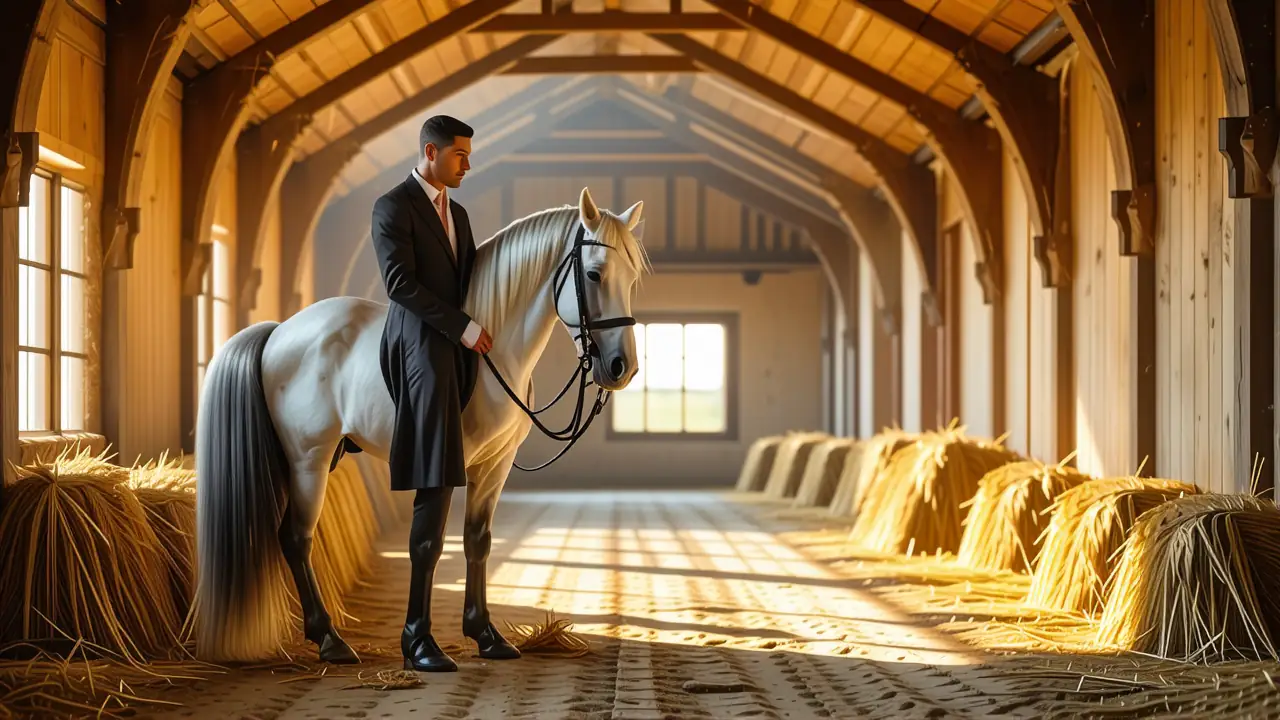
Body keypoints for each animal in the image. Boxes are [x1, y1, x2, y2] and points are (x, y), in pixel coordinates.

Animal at [192, 187, 649, 664]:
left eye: (631, 278)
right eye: (594, 275)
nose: (623, 368)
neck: (490, 352)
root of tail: (279, 331)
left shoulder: (495, 465)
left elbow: (477, 540)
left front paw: (486, 635)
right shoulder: (440, 461)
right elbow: (427, 545)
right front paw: (421, 645)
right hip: (307, 460)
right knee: (296, 538)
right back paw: (330, 640)